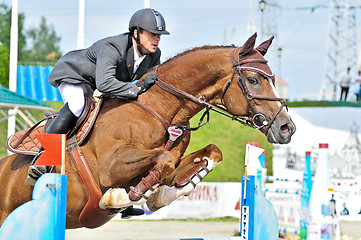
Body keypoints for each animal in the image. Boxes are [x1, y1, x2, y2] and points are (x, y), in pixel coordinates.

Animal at [0, 32, 294, 230]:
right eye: (253, 80)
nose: (287, 128)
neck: (159, 111)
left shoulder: (174, 157)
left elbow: (204, 154)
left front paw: (161, 194)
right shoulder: (109, 168)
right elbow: (162, 160)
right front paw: (123, 196)